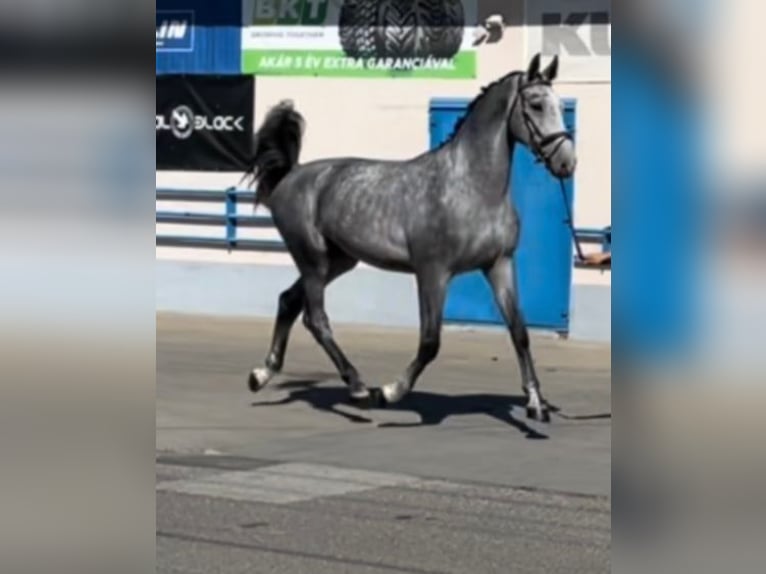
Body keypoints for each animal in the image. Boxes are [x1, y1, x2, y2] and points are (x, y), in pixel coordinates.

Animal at [246, 54, 576, 424]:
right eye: (535, 104)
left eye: (560, 105)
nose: (567, 162)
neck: (472, 187)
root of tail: (291, 175)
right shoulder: (433, 272)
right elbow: (430, 341)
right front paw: (390, 392)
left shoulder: (499, 265)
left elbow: (519, 332)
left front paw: (535, 404)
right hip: (313, 260)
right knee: (315, 319)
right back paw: (358, 388)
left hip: (338, 261)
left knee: (288, 300)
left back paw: (262, 374)